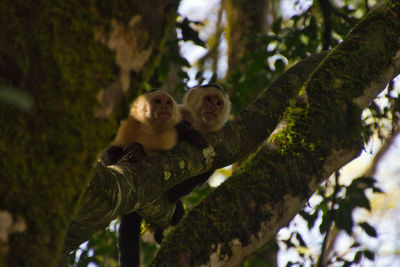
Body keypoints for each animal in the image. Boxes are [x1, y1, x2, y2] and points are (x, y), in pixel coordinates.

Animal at [101, 89, 206, 267]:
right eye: (158, 101)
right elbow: (108, 155)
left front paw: (188, 133)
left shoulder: (169, 135)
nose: (165, 105)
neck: (149, 129)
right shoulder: (125, 126)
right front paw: (135, 150)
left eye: (168, 102)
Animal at [154, 84, 231, 245]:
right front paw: (189, 134)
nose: (213, 107)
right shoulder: (179, 112)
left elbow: (200, 178)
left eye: (219, 103)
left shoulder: (216, 133)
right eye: (209, 99)